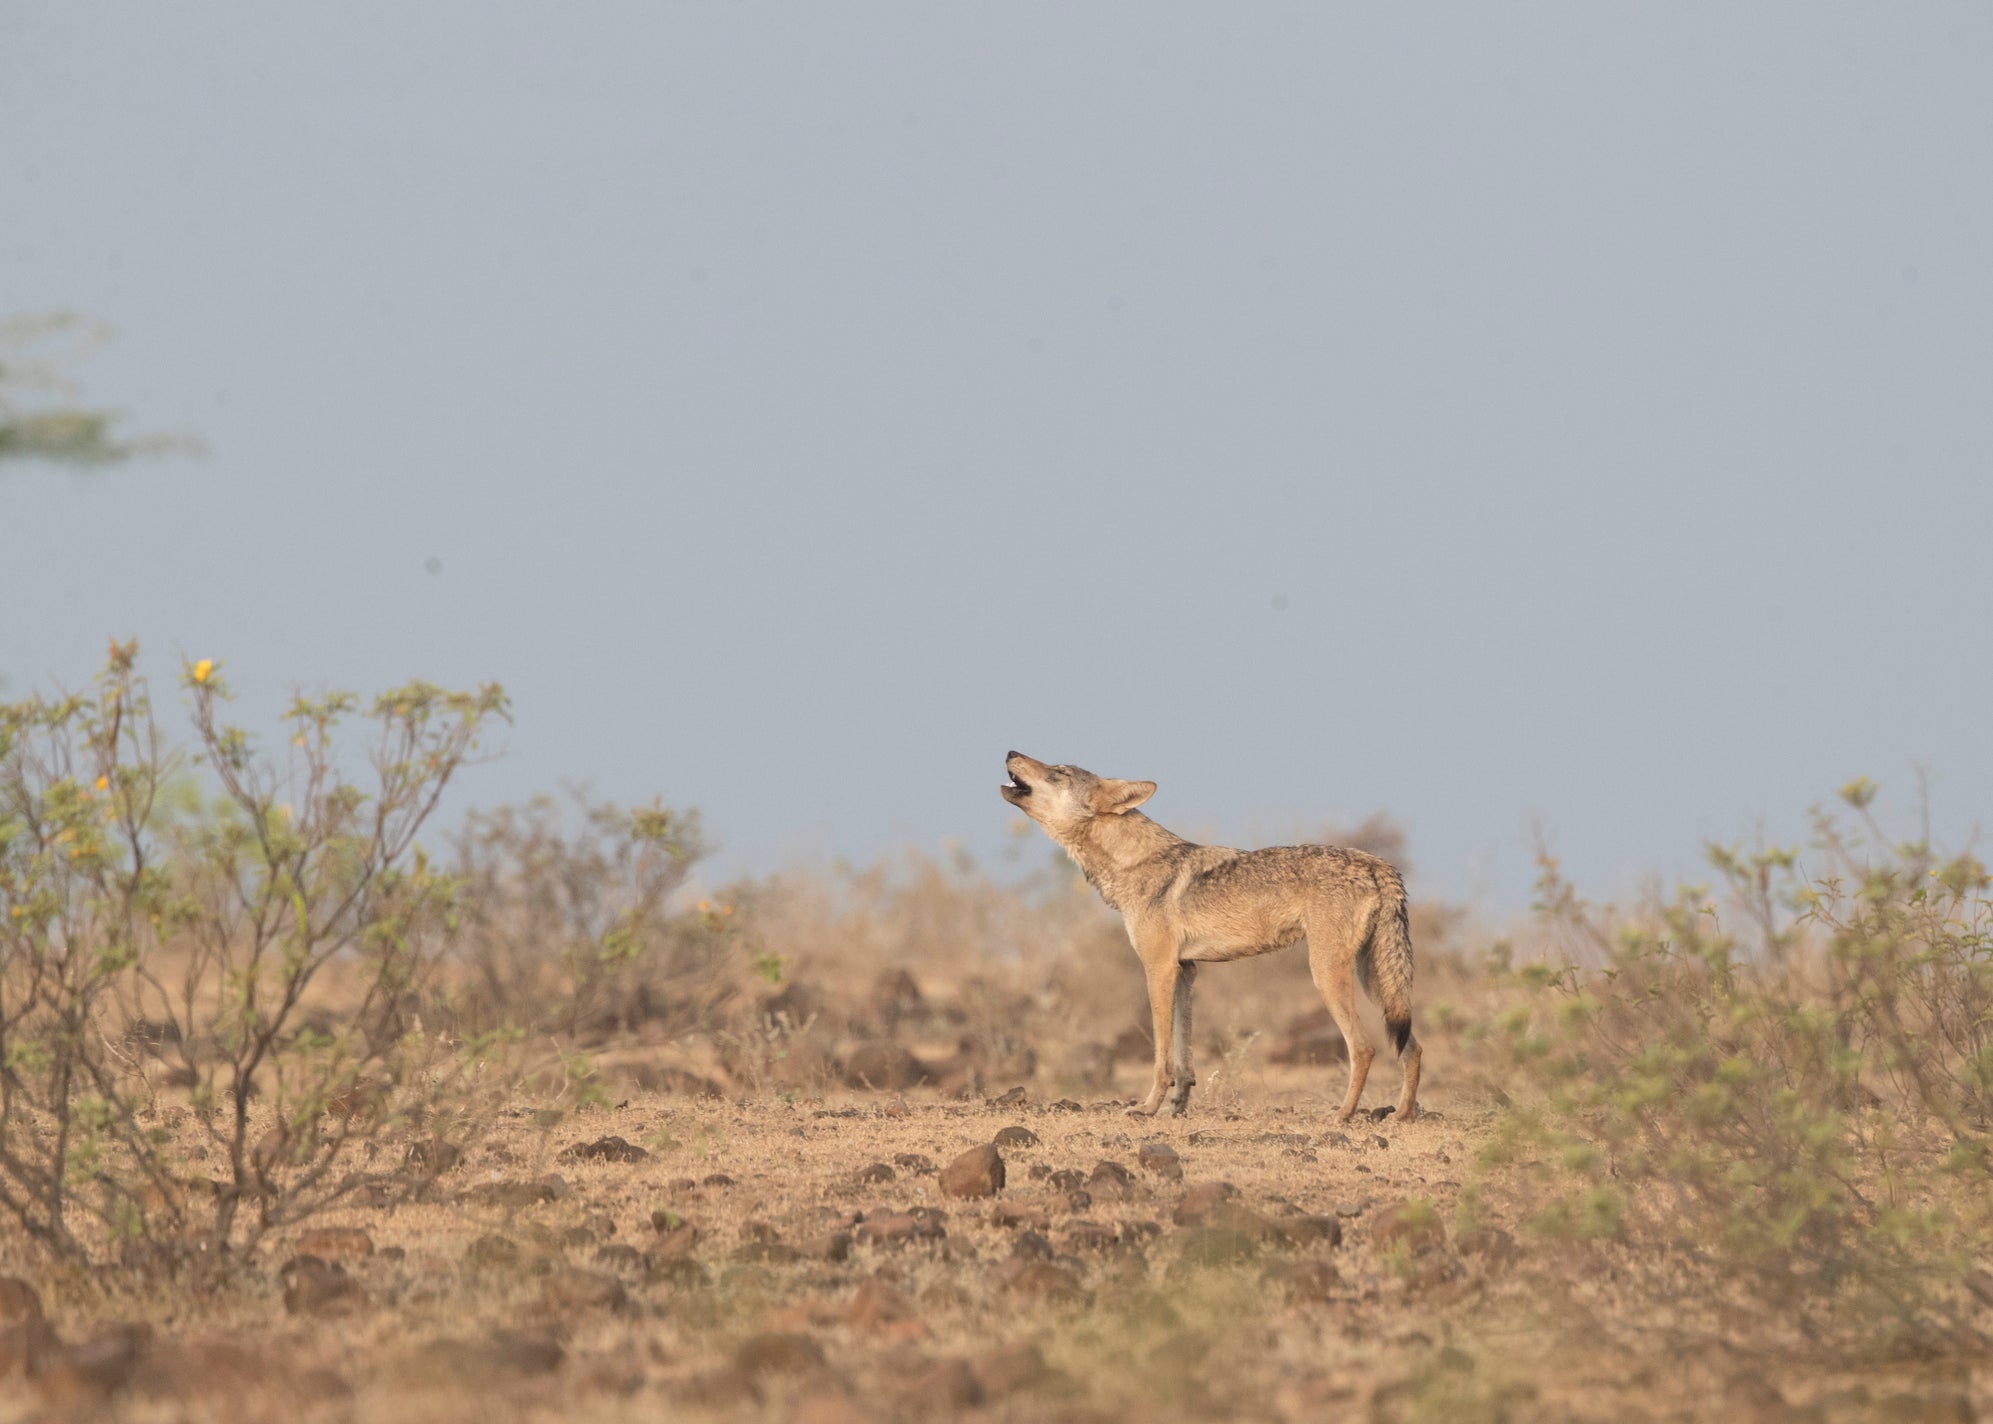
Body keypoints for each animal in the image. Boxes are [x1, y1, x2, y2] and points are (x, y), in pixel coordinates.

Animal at [1000, 752, 1420, 1122]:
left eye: (1059, 771)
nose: (1010, 751)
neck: (1132, 864)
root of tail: (1376, 862)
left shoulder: (1159, 968)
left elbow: (1162, 1055)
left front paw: (1148, 1108)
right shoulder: (1186, 970)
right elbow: (1184, 1054)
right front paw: (1177, 1107)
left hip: (1327, 975)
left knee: (1364, 1047)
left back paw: (1342, 1115)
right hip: (1374, 982)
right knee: (1412, 1047)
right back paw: (1401, 1115)